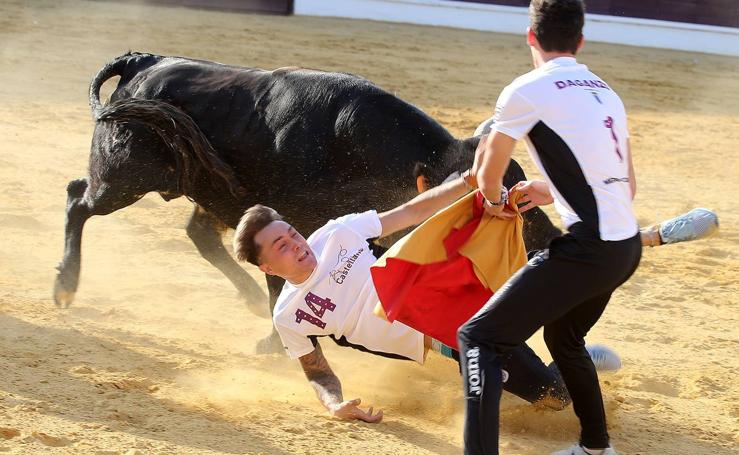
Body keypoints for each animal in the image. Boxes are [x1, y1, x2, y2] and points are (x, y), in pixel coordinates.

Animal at [53, 53, 560, 352]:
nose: (549, 239)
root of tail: (145, 61)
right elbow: (282, 285)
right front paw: (273, 344)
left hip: (209, 192)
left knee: (198, 234)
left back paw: (248, 299)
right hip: (121, 178)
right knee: (79, 199)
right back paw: (65, 284)